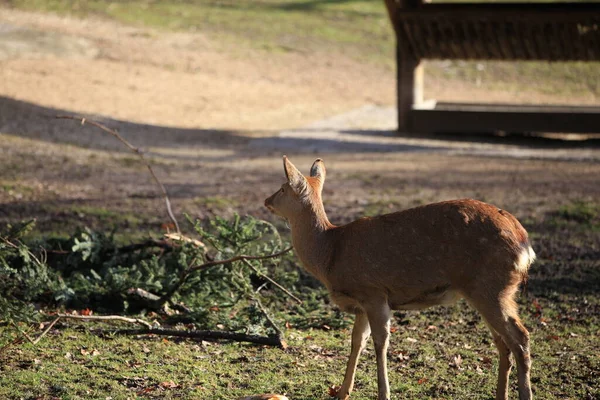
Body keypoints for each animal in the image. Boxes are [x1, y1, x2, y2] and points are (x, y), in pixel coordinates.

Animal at [264, 156, 536, 400]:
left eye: (282, 187)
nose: (266, 200)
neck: (330, 253)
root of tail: (525, 244)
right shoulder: (362, 303)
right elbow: (356, 342)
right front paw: (342, 392)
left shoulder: (373, 291)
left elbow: (380, 343)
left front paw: (383, 394)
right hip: (487, 291)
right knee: (503, 344)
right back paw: (501, 395)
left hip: (492, 287)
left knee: (520, 337)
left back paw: (525, 394)